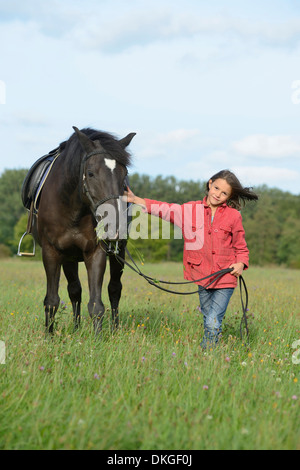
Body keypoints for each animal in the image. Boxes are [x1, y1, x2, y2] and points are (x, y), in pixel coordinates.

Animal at [29, 126, 135, 336]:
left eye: (124, 173)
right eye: (91, 173)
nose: (115, 224)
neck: (72, 208)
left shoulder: (95, 252)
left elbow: (96, 304)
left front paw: (97, 339)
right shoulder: (52, 252)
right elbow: (52, 300)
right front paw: (49, 337)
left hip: (118, 252)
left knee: (114, 289)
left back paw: (115, 329)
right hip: (68, 258)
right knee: (74, 290)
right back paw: (76, 328)